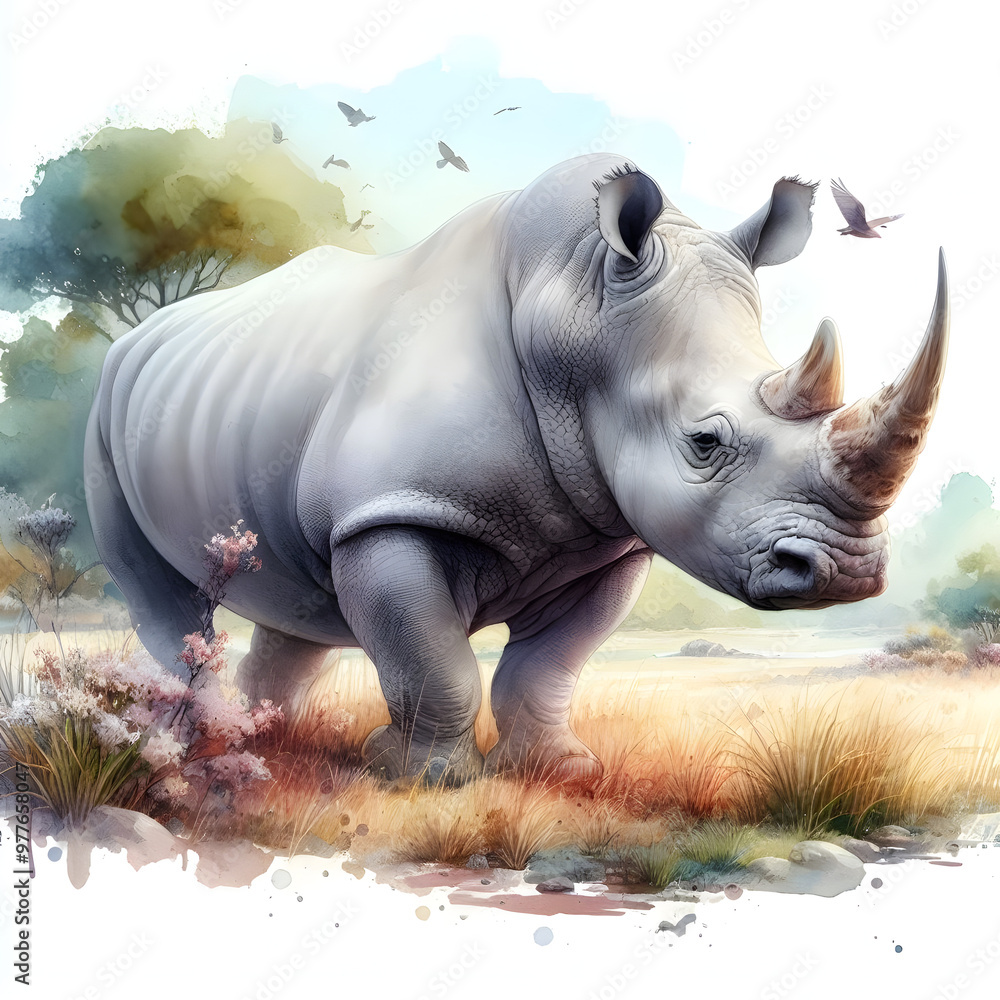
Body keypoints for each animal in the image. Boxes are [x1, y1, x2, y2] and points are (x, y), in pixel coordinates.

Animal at [85, 154, 949, 785]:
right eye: (704, 442)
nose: (847, 571)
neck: (575, 308)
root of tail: (139, 339)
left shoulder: (608, 538)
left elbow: (546, 666)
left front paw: (560, 770)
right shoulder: (391, 510)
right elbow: (434, 662)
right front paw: (422, 777)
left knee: (294, 604)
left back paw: (267, 735)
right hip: (103, 410)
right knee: (160, 591)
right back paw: (196, 737)